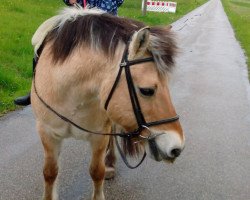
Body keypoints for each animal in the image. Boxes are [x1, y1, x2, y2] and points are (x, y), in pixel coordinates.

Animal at [30, 5, 185, 200]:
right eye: (147, 90)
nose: (177, 148)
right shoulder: (47, 133)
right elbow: (50, 172)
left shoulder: (99, 135)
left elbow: (97, 171)